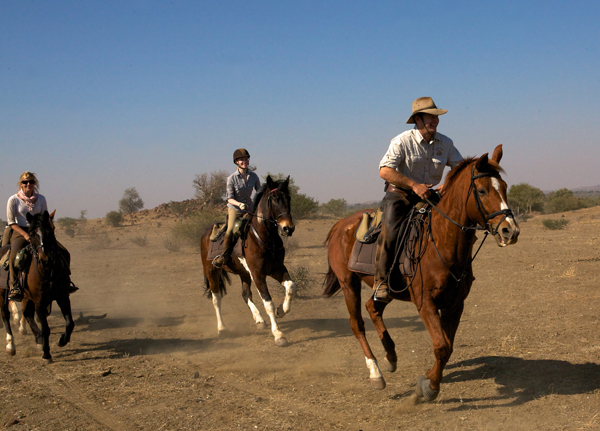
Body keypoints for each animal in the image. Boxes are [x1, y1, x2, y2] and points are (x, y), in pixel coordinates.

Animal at [0, 211, 75, 362]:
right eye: (32, 234)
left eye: (50, 230)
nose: (45, 258)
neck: (48, 271)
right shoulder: (39, 301)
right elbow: (46, 328)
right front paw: (47, 354)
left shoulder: (63, 297)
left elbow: (70, 323)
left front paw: (62, 340)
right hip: (2, 293)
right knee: (5, 314)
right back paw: (11, 345)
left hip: (28, 297)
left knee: (27, 314)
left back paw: (38, 338)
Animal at [200, 176, 296, 348]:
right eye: (274, 198)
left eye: (288, 198)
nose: (288, 228)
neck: (264, 238)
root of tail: (205, 233)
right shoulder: (258, 274)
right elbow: (268, 303)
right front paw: (278, 334)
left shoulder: (277, 268)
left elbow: (291, 286)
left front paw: (281, 310)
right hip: (211, 271)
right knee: (216, 299)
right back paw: (222, 328)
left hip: (243, 273)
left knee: (245, 295)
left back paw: (259, 319)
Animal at [324, 145, 520, 402]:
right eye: (482, 190)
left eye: (504, 188)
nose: (510, 231)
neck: (442, 240)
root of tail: (340, 226)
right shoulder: (425, 302)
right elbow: (441, 346)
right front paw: (430, 388)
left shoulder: (454, 304)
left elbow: (448, 346)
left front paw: (428, 377)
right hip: (349, 283)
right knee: (357, 324)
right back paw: (376, 373)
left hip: (386, 288)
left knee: (372, 307)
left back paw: (391, 357)